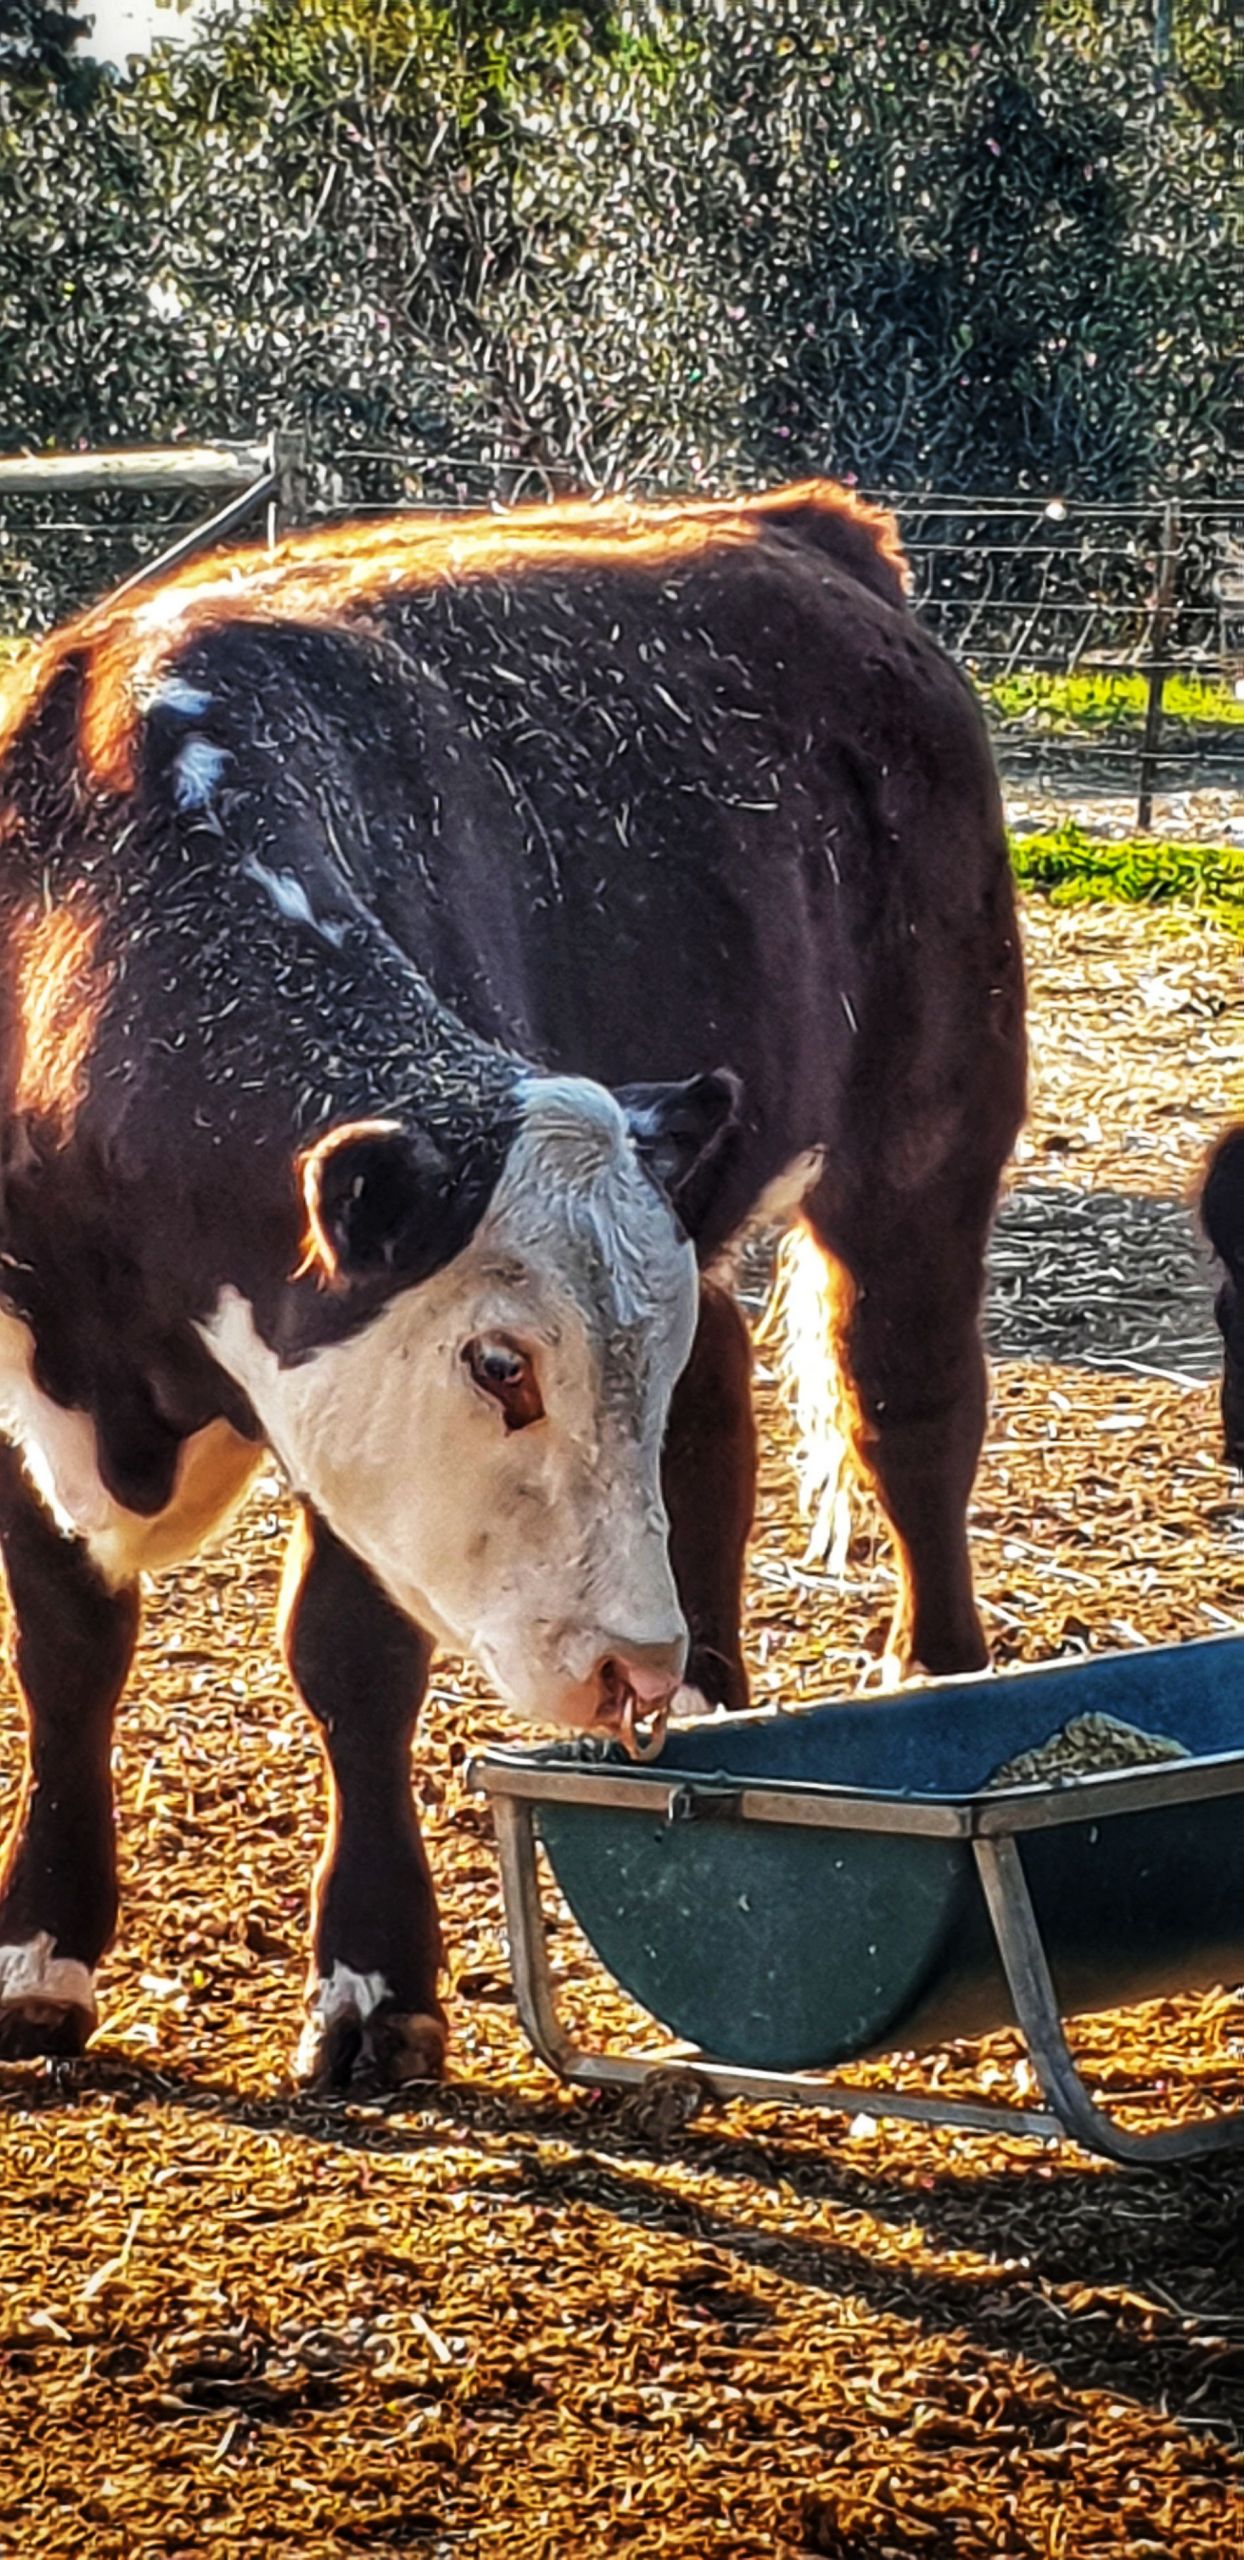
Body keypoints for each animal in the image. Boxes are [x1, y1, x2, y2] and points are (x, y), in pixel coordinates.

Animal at [0, 476, 1023, 2078]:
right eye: (499, 1362)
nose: (629, 1671)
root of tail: (795, 523)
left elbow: (348, 1658)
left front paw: (374, 1982)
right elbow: (63, 1645)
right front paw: (43, 1949)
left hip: (923, 1157)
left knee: (913, 1420)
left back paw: (932, 1676)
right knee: (722, 1403)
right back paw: (714, 1696)